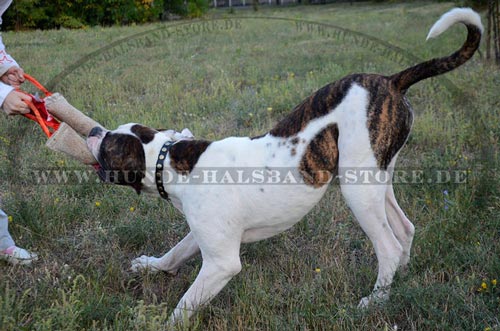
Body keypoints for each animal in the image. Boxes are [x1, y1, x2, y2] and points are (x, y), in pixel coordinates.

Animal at [87, 9, 484, 326]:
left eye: (108, 146)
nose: (92, 131)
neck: (168, 159)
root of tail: (391, 80)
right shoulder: (205, 237)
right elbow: (176, 252)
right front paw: (152, 266)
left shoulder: (221, 262)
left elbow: (185, 304)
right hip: (377, 181)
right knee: (403, 230)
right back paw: (399, 279)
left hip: (358, 190)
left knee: (387, 245)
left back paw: (375, 301)